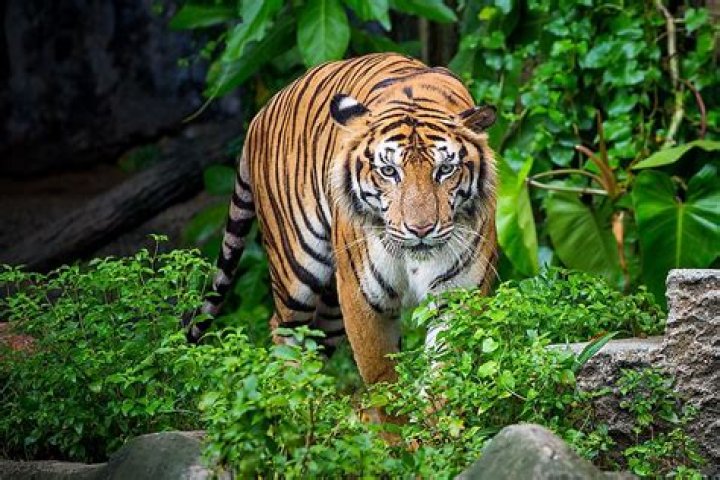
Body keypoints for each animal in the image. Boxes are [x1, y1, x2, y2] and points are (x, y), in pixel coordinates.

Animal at [184, 52, 498, 390]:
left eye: (445, 169)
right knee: (284, 331)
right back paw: (296, 397)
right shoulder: (364, 298)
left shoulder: (459, 296)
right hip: (297, 270)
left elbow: (445, 374)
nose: (421, 230)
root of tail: (261, 112)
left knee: (315, 341)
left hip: (333, 303)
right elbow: (381, 376)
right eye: (389, 171)